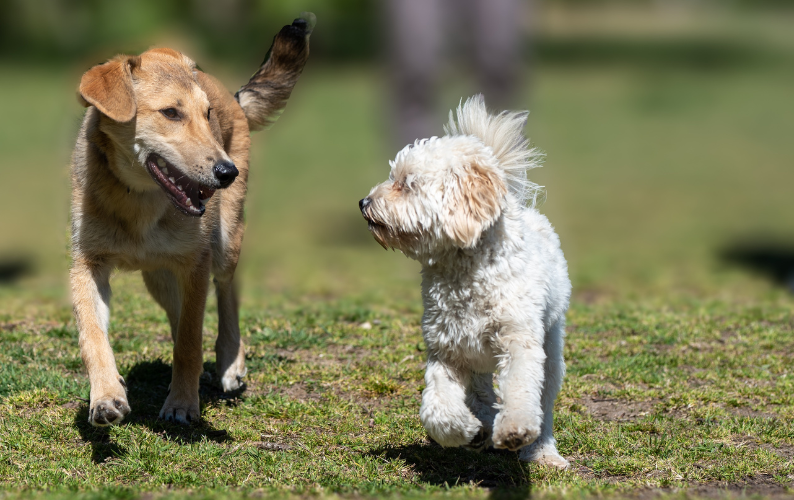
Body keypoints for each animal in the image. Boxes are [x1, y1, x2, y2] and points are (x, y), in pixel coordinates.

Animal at [70, 14, 312, 426]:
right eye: (170, 113)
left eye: (207, 115)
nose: (226, 172)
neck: (138, 201)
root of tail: (233, 96)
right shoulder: (87, 264)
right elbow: (93, 336)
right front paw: (106, 396)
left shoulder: (196, 264)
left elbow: (189, 341)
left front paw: (182, 403)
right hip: (159, 277)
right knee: (179, 312)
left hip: (226, 242)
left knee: (226, 292)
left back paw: (230, 363)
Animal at [358, 95, 568, 466]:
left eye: (407, 183)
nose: (363, 203)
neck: (465, 271)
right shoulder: (447, 350)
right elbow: (436, 410)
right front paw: (467, 431)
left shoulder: (519, 341)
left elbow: (520, 389)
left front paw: (514, 430)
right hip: (476, 358)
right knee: (481, 391)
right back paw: (483, 421)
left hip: (551, 346)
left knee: (543, 399)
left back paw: (542, 450)